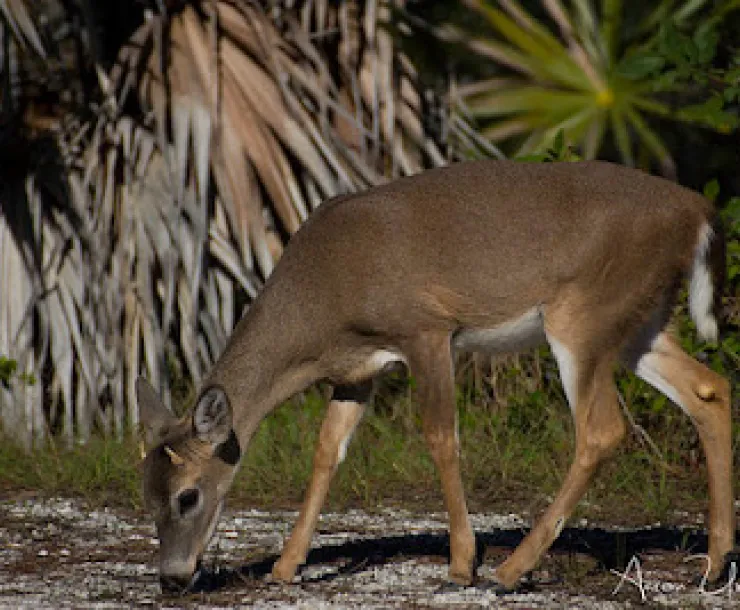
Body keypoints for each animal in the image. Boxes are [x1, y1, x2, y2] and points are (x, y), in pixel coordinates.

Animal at [136, 159, 735, 593]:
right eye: (146, 493)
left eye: (187, 496)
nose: (172, 579)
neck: (323, 304)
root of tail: (698, 210)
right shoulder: (357, 369)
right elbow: (327, 450)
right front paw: (286, 566)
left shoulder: (425, 329)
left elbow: (441, 438)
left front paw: (462, 562)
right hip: (640, 322)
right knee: (709, 390)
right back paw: (713, 563)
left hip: (582, 313)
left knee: (603, 429)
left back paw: (510, 570)